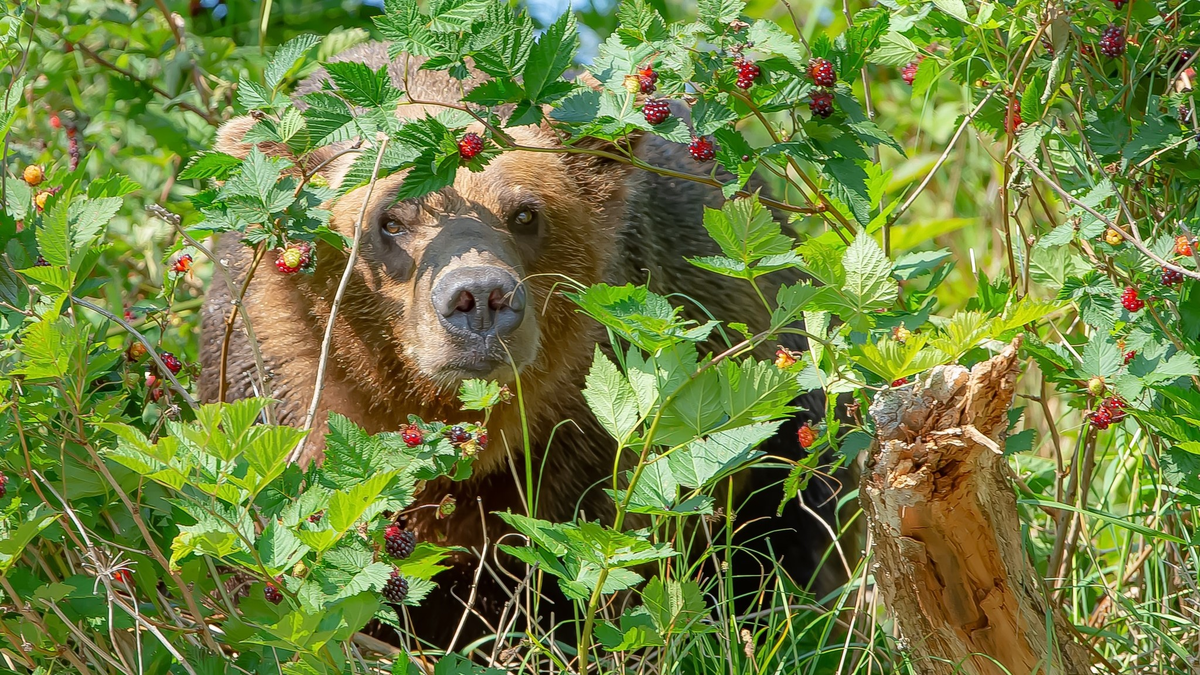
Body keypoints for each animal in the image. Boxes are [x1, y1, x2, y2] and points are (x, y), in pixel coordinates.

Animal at [204, 42, 844, 648]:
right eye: (390, 220)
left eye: (524, 214)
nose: (480, 297)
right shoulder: (277, 374)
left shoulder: (586, 420)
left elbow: (587, 561)